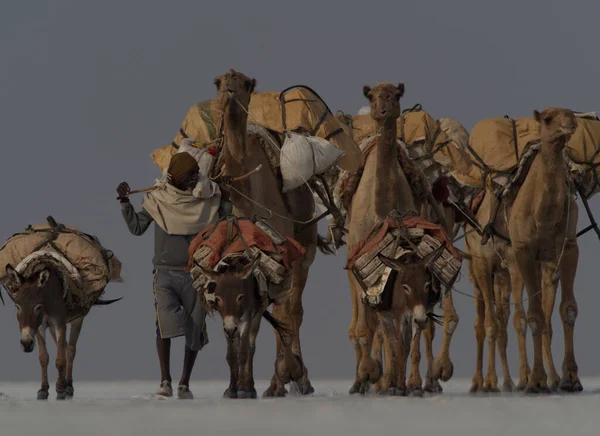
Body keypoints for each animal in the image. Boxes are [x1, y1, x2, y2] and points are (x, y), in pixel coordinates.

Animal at [213, 69, 330, 398]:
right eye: (218, 81)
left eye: (244, 82)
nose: (228, 91)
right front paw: (243, 385)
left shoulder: (283, 253)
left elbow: (281, 313)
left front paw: (290, 374)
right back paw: (277, 383)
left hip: (305, 253)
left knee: (293, 309)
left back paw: (296, 378)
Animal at [464, 107, 580, 394]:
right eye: (548, 118)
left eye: (570, 112)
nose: (570, 123)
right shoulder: (521, 254)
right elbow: (531, 316)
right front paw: (534, 380)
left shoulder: (565, 251)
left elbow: (565, 311)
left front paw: (568, 378)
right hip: (480, 265)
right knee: (489, 322)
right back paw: (488, 382)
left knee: (503, 318)